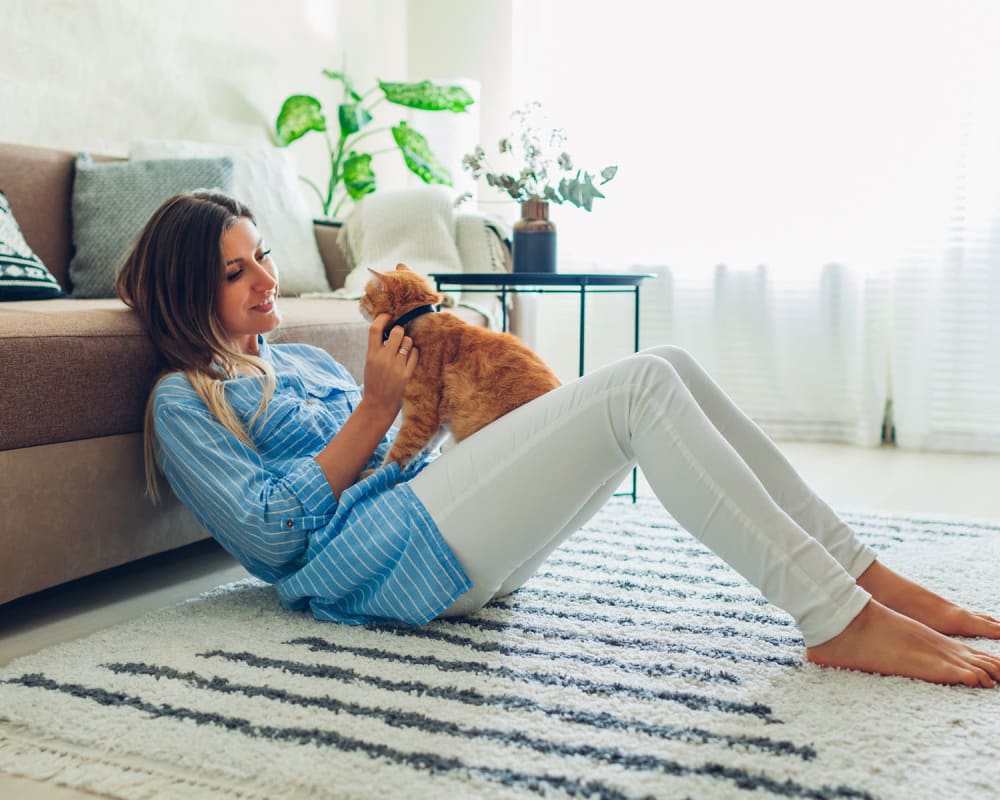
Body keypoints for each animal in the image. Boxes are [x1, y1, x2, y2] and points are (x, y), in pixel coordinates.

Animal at [360, 264, 564, 468]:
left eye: (366, 295)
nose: (359, 303)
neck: (415, 320)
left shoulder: (421, 416)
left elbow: (396, 456)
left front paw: (377, 472)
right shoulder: (439, 420)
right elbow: (429, 445)